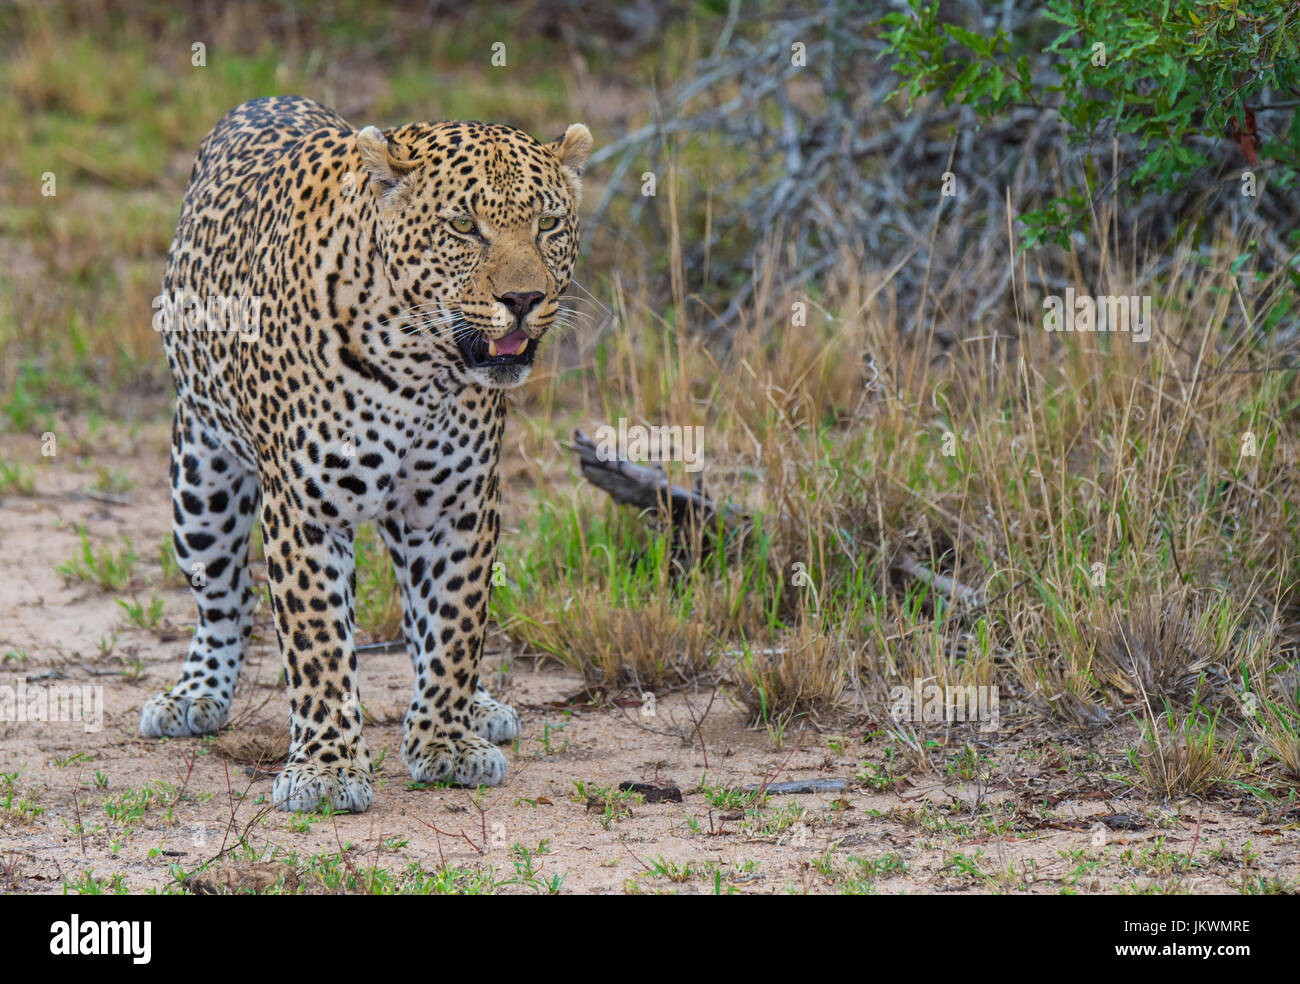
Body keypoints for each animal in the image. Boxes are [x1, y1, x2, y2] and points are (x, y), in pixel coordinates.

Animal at [139, 95, 592, 813]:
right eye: (463, 226)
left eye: (548, 223)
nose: (524, 300)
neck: (418, 370)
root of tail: (263, 99)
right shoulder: (304, 509)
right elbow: (319, 643)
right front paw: (326, 768)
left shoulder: (458, 507)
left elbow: (454, 627)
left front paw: (446, 741)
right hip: (200, 479)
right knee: (226, 600)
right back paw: (195, 694)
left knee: (415, 615)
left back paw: (478, 706)